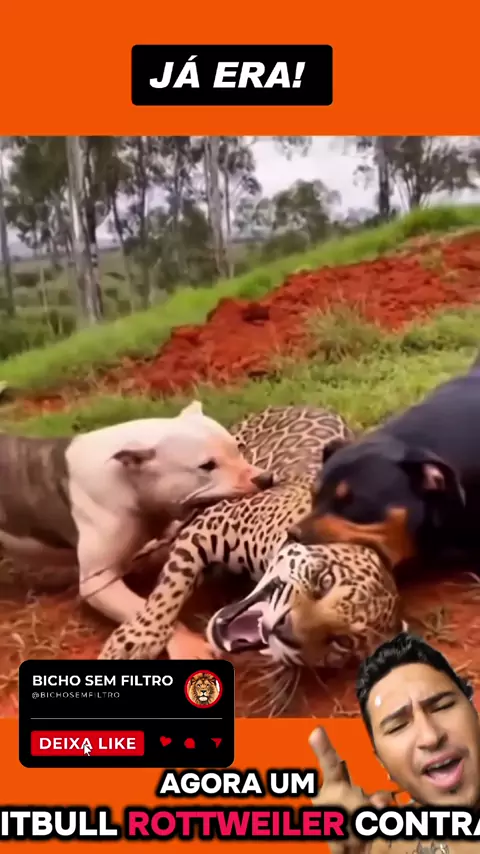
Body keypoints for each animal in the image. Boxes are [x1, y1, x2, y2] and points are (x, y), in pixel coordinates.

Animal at [0, 400, 273, 643]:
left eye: (237, 448)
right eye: (207, 466)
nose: (266, 478)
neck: (128, 478)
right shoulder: (98, 583)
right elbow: (148, 612)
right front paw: (187, 645)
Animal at [98, 405, 404, 667]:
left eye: (341, 642)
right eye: (325, 582)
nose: (285, 630)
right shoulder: (208, 525)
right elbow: (169, 590)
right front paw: (134, 639)